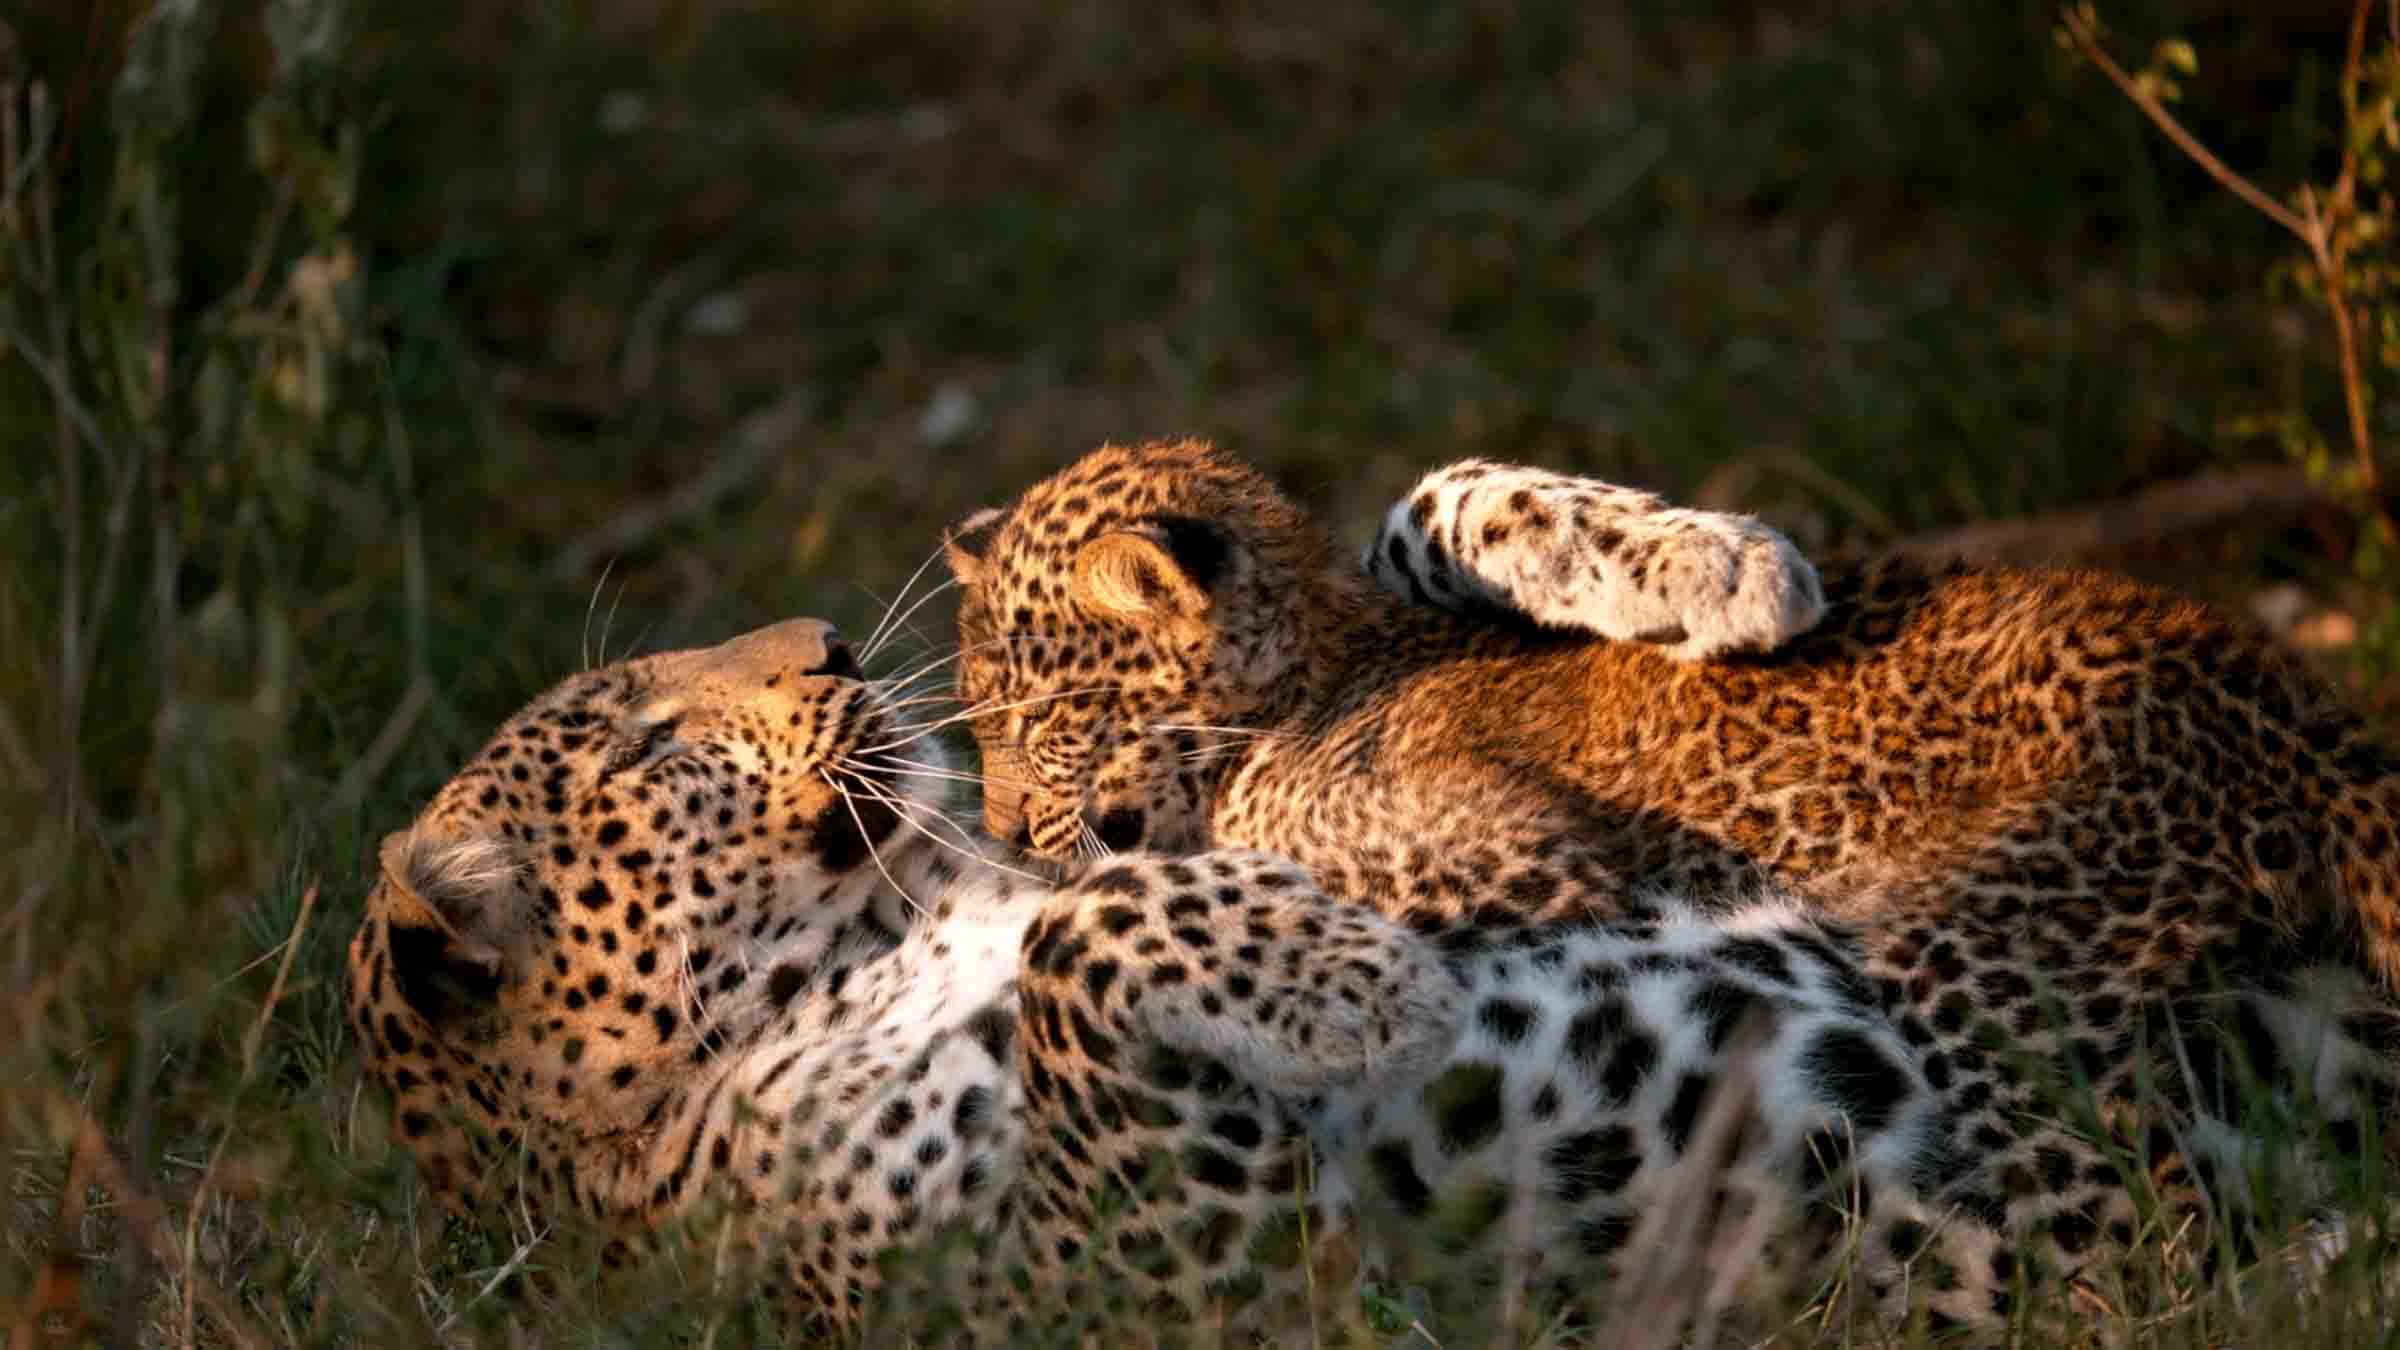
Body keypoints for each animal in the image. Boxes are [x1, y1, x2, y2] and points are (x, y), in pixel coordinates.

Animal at [349, 614, 2061, 1341]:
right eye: (651, 741)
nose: (830, 638)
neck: (892, 931)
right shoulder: (1147, 1292)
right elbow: (1081, 937)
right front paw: (1358, 983)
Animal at [943, 439, 2400, 1319]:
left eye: (1035, 712)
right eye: (978, 718)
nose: (1002, 827)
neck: (1306, 685)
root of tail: (2284, 709)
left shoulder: (1523, 874)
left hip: (1979, 981)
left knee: (2116, 1242)